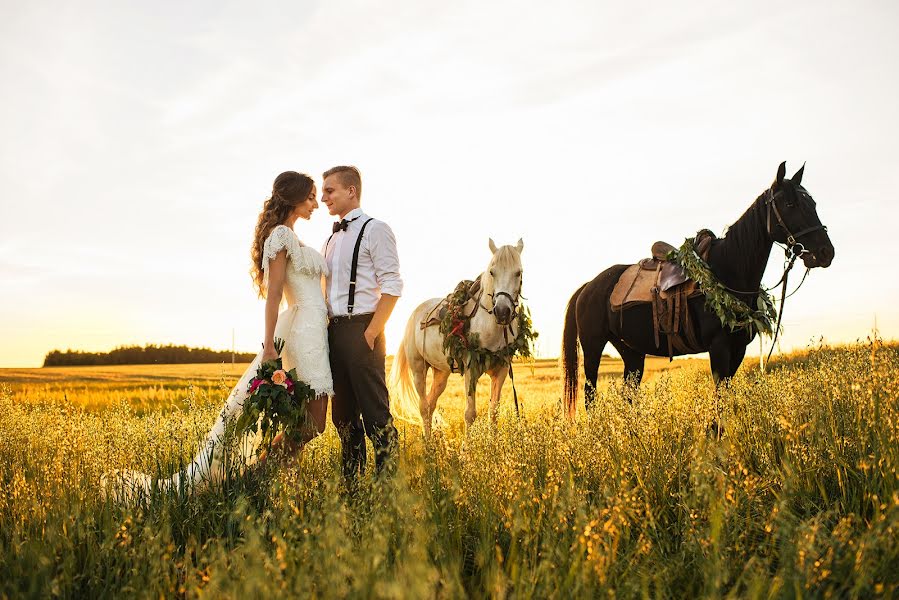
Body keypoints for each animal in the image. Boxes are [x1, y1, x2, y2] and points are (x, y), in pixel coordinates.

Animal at [388, 239, 528, 436]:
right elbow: (470, 414)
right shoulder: (471, 370)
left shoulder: (500, 371)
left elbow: (493, 413)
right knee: (423, 406)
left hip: (441, 373)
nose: (502, 312)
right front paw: (466, 446)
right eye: (492, 272)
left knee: (430, 404)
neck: (490, 326)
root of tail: (414, 315)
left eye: (518, 272)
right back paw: (428, 443)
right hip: (418, 369)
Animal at [564, 164, 836, 418]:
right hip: (593, 346)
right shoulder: (719, 347)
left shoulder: (738, 349)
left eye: (812, 202)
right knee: (589, 395)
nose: (826, 252)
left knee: (628, 395)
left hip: (631, 352)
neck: (728, 269)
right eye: (790, 204)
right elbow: (719, 401)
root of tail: (588, 286)